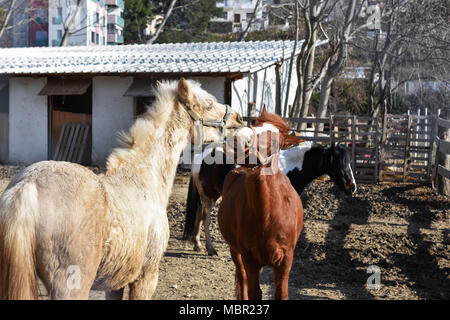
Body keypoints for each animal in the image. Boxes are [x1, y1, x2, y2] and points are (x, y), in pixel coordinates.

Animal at [182, 142, 356, 255]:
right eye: (341, 164)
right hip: (209, 197)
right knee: (205, 218)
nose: (352, 187)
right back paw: (210, 249)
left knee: (198, 215)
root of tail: (203, 154)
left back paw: (197, 244)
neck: (288, 169)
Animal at [218, 112, 302, 300]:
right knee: (242, 278)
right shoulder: (249, 257)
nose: (239, 138)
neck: (267, 215)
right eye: (255, 122)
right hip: (235, 251)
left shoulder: (286, 259)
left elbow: (281, 293)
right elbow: (254, 292)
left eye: (276, 140)